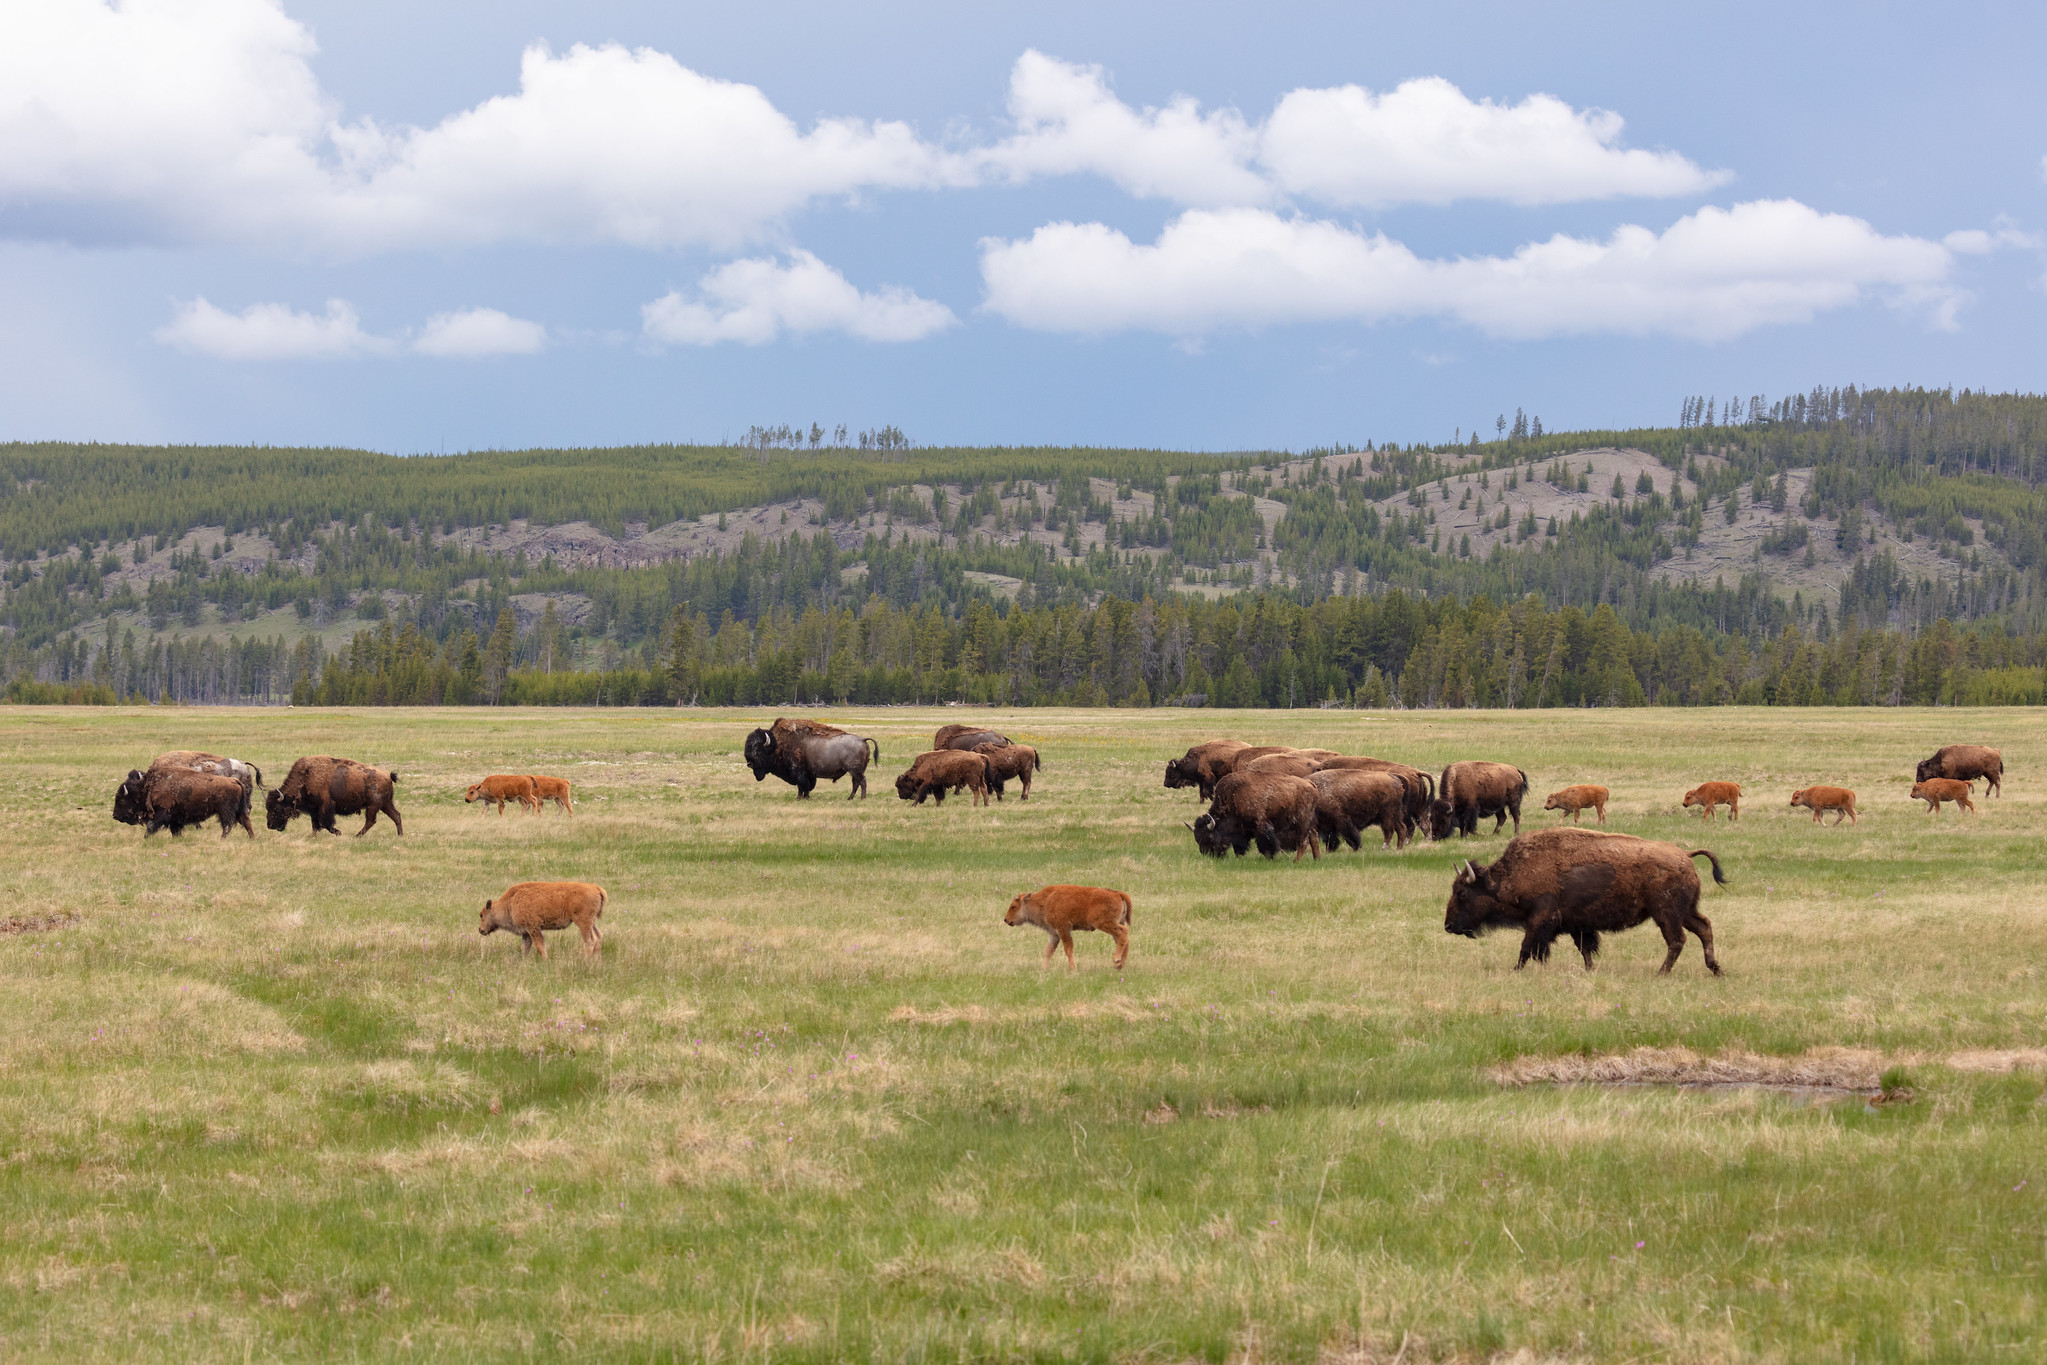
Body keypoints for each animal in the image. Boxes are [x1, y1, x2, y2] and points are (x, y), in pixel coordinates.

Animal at [264, 753, 403, 839]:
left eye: (276, 808)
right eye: (267, 808)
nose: (270, 826)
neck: (305, 778)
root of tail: (388, 776)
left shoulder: (325, 807)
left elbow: (325, 823)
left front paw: (339, 833)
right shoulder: (313, 809)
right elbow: (315, 825)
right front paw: (313, 837)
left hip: (373, 806)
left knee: (371, 820)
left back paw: (357, 836)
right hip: (385, 804)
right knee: (396, 816)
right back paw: (400, 835)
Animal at [749, 716, 884, 802]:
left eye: (758, 751)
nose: (749, 764)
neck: (777, 744)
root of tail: (862, 739)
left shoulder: (798, 772)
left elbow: (802, 785)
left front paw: (799, 798)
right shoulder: (808, 774)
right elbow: (806, 786)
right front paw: (805, 797)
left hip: (855, 770)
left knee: (862, 781)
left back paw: (862, 798)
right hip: (855, 771)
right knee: (856, 783)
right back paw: (850, 798)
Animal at [1007, 888, 1138, 970]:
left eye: (1013, 906)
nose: (1006, 920)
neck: (1045, 901)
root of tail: (1117, 893)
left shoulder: (1063, 929)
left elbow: (1068, 949)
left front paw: (1072, 968)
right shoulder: (1054, 934)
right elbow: (1049, 951)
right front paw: (1043, 968)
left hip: (1105, 924)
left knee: (1123, 933)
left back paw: (1116, 960)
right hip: (1116, 923)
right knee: (1124, 939)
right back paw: (1120, 966)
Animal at [1187, 773, 1326, 859]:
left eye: (1209, 837)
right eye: (1197, 839)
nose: (1208, 854)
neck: (1232, 797)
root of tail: (1310, 784)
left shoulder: (1260, 826)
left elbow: (1266, 844)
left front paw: (1270, 857)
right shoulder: (1242, 831)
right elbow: (1239, 847)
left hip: (1302, 822)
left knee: (1303, 842)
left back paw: (1295, 862)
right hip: (1309, 823)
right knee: (1314, 838)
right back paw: (1316, 860)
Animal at [1441, 826, 1727, 978]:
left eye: (1462, 893)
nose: (1448, 926)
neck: (1510, 875)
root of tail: (1686, 855)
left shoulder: (1540, 919)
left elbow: (1527, 947)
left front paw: (1516, 970)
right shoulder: (1576, 925)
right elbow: (1584, 949)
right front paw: (1589, 970)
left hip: (1666, 913)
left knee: (1677, 940)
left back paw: (1661, 973)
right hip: (1685, 912)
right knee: (1704, 927)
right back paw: (1715, 969)